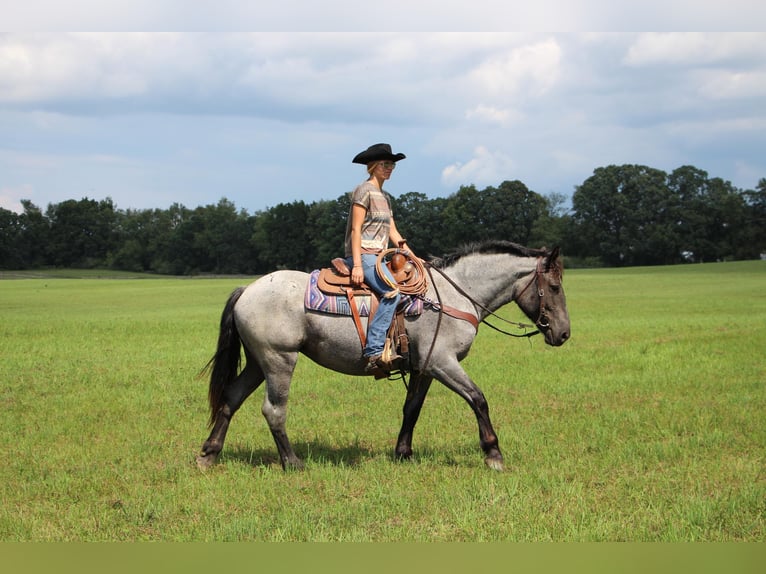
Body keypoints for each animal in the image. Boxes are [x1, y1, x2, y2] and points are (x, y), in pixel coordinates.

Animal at [198, 241, 568, 474]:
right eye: (554, 287)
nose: (563, 334)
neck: (451, 296)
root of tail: (247, 289)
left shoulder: (424, 368)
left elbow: (412, 409)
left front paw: (403, 453)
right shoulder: (442, 362)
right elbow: (478, 399)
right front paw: (493, 454)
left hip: (258, 363)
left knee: (231, 398)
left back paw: (208, 454)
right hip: (279, 361)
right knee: (273, 410)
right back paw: (292, 462)